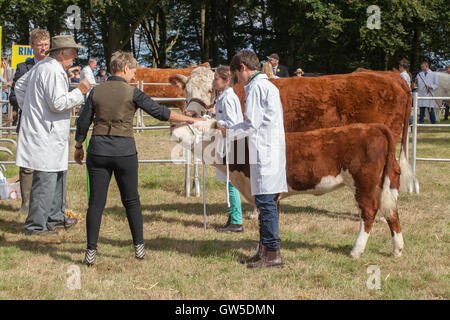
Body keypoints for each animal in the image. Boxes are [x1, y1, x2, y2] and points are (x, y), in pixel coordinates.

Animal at [171, 119, 406, 258]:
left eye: (198, 125)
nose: (172, 126)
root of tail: (374, 126)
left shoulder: (267, 194)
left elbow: (265, 225)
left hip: (363, 183)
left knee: (369, 211)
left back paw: (356, 251)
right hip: (382, 185)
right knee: (391, 211)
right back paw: (397, 249)